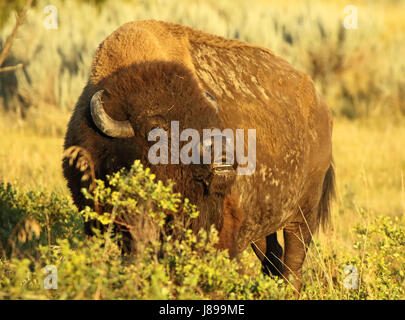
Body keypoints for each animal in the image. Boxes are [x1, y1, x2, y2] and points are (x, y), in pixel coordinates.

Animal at [62, 20, 334, 294]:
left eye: (213, 121)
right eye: (158, 130)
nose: (223, 157)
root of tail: (322, 106)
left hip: (303, 214)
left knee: (293, 260)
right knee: (272, 257)